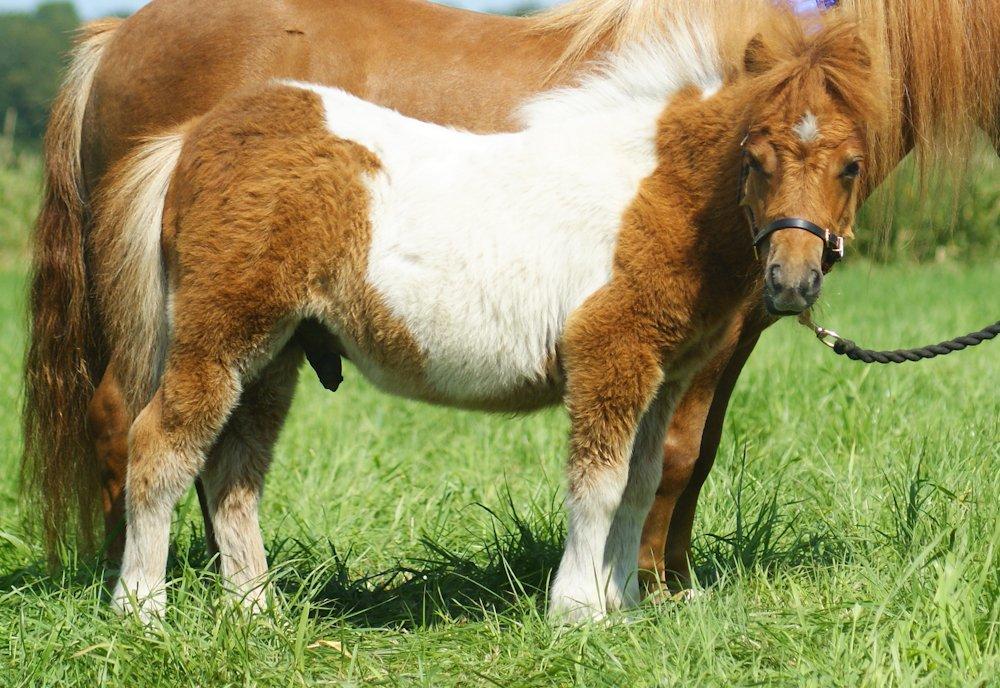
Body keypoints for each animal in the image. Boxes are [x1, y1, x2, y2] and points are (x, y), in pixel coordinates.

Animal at [23, 0, 1000, 588]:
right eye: (757, 160)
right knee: (135, 426)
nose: (795, 278)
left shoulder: (712, 340)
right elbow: (670, 460)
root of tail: (114, 38)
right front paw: (642, 590)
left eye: (851, 164)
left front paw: (658, 590)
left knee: (218, 459)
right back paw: (129, 590)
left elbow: (680, 460)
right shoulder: (690, 341)